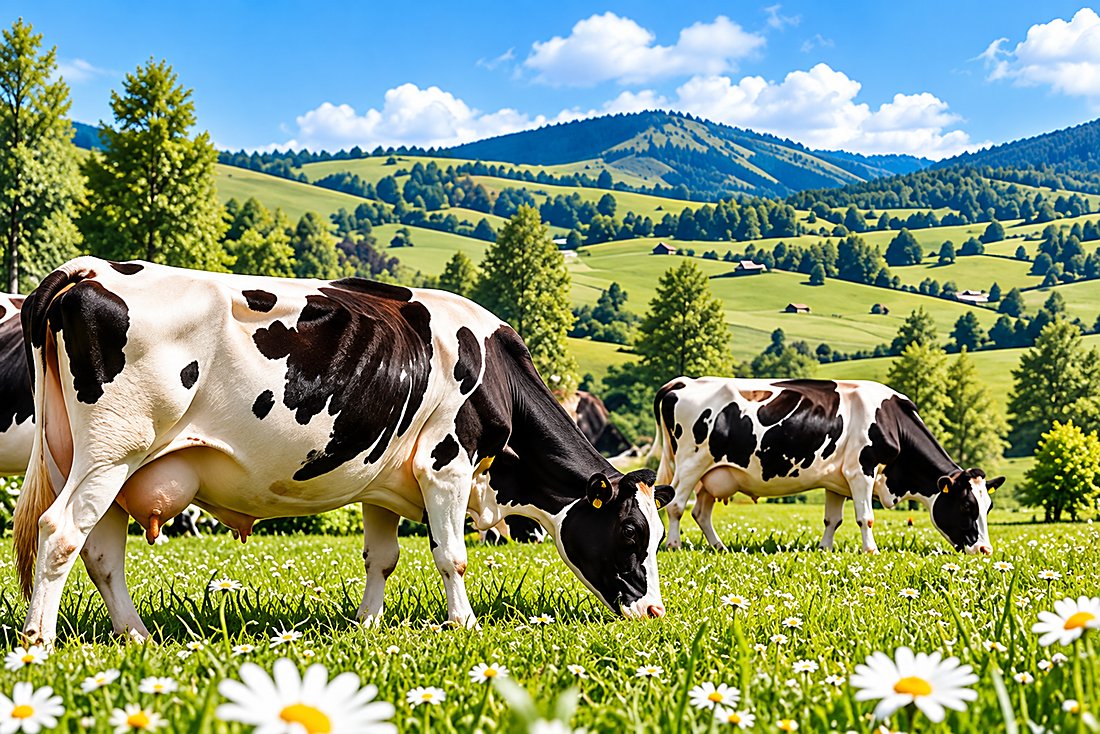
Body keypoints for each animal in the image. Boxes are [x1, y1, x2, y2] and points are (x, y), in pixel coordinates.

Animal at [13, 257, 673, 646]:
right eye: (632, 533)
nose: (654, 612)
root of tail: (89, 271)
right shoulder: (445, 463)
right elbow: (452, 556)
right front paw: (463, 623)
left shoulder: (382, 477)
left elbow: (381, 557)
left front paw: (368, 625)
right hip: (113, 449)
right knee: (61, 532)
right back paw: (39, 642)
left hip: (91, 460)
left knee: (101, 553)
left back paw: (135, 635)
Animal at [653, 377, 1004, 555]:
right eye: (966, 507)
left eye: (987, 507)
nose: (985, 550)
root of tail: (682, 382)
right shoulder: (861, 470)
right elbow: (866, 517)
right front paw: (870, 551)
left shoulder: (837, 480)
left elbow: (832, 520)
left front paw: (825, 549)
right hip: (691, 462)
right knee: (676, 505)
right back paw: (673, 545)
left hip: (714, 474)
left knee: (701, 512)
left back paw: (720, 547)